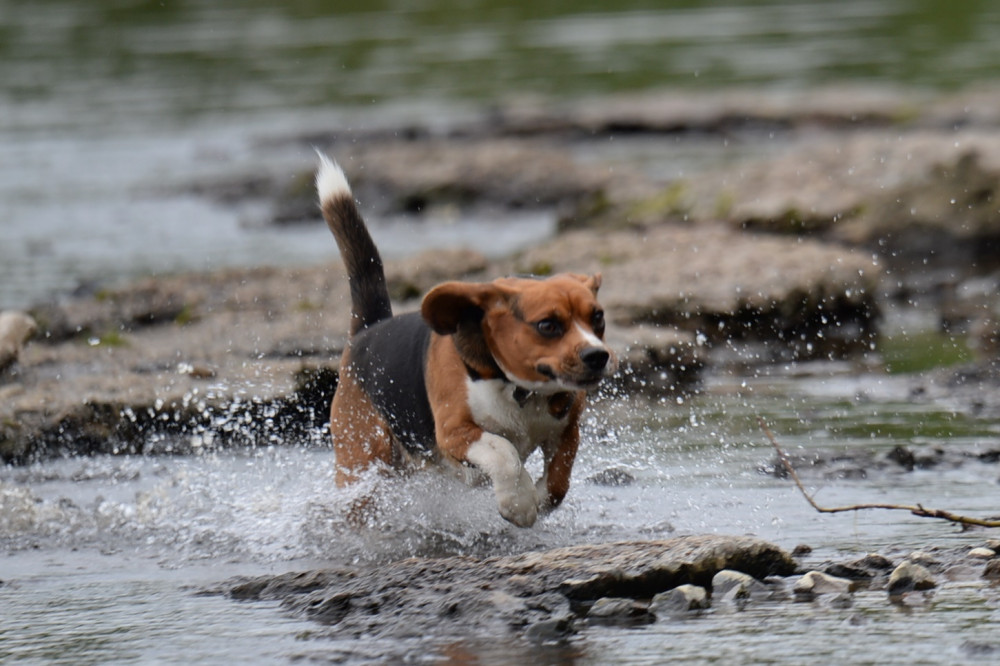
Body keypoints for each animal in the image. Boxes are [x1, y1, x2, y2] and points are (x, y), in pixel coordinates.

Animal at [316, 153, 612, 528]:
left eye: (598, 317)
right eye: (547, 325)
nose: (598, 356)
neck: (520, 390)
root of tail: (370, 329)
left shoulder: (567, 431)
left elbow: (559, 482)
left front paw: (540, 497)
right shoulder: (455, 432)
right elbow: (504, 452)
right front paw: (519, 501)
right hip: (364, 457)